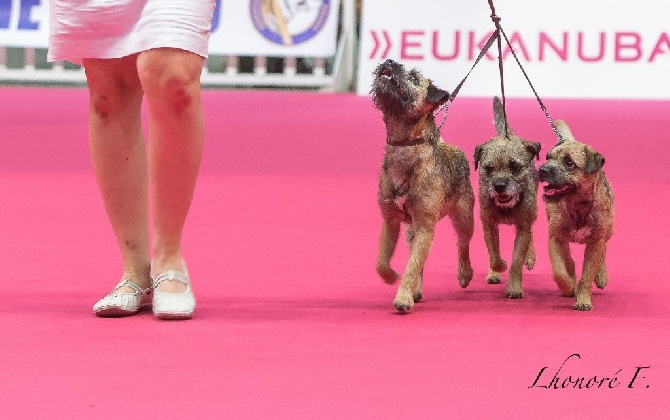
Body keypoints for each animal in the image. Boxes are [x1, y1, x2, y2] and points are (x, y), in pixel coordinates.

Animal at [370, 59, 476, 312]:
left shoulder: (426, 226)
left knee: (462, 243)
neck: (405, 146)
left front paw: (402, 297)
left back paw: (465, 274)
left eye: (414, 78)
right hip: (412, 230)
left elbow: (412, 266)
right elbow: (381, 261)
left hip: (464, 217)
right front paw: (391, 277)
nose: (389, 61)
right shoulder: (390, 221)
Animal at [476, 96, 544, 298]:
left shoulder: (523, 226)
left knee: (531, 234)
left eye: (514, 166)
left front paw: (514, 287)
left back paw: (530, 256)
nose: (499, 186)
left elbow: (516, 260)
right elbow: (494, 254)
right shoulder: (488, 224)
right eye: (488, 168)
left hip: (533, 214)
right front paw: (498, 268)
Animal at [540, 120, 616, 310]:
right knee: (568, 261)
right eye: (548, 157)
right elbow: (559, 272)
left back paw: (601, 276)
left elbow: (588, 275)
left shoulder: (595, 242)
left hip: (608, 230)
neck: (578, 206)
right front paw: (569, 287)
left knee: (604, 249)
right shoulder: (555, 239)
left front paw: (583, 299)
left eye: (569, 163)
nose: (542, 170)